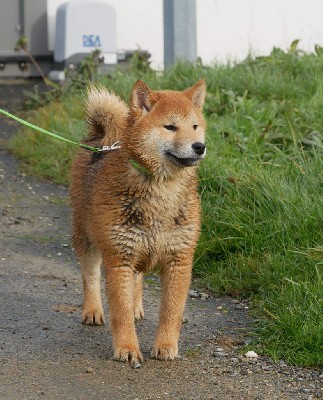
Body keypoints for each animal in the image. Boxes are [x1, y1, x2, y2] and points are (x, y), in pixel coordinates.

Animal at [71, 79, 208, 368]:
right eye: (170, 127)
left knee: (137, 278)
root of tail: (99, 139)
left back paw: (136, 307)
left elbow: (171, 312)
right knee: (90, 277)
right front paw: (127, 349)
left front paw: (166, 346)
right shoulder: (118, 259)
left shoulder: (179, 260)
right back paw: (93, 310)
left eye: (194, 126)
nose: (199, 146)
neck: (161, 190)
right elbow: (119, 313)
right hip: (86, 237)